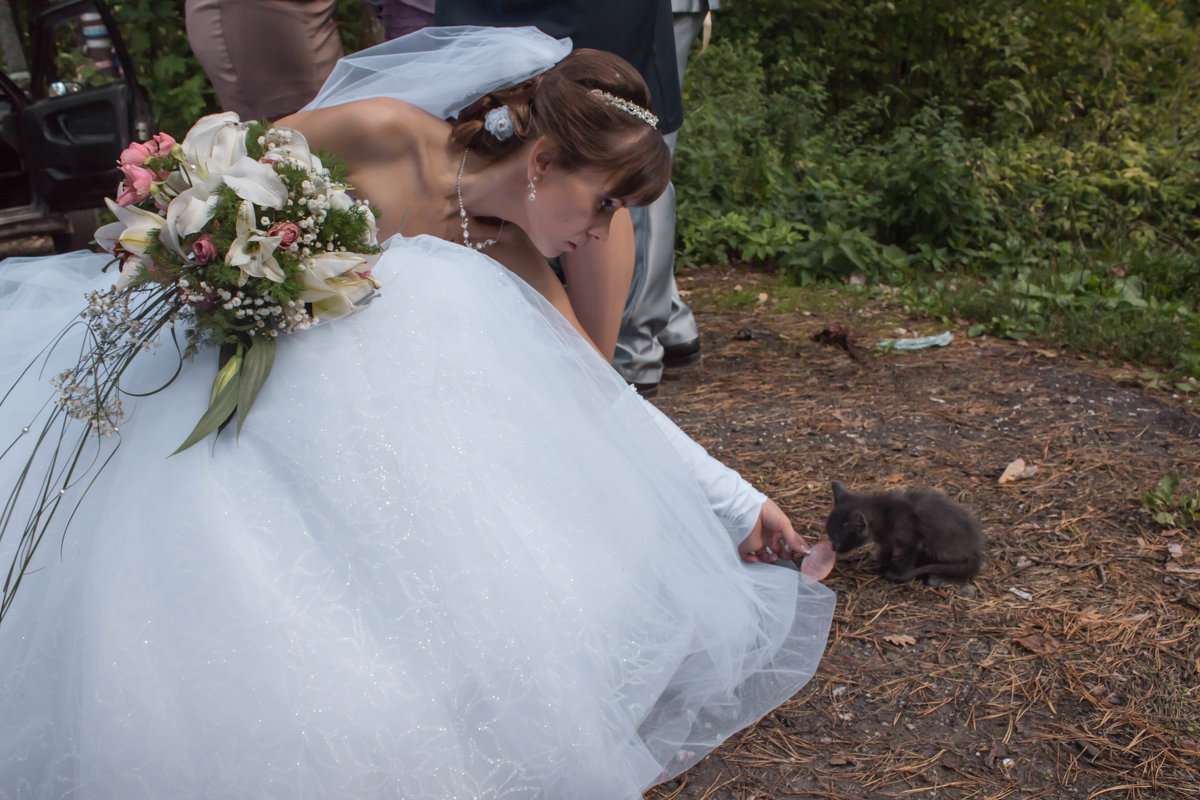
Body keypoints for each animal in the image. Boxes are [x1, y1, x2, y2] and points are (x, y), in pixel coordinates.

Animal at [825, 482, 984, 587]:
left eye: (836, 540)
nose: (832, 548)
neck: (883, 513)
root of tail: (977, 549)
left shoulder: (912, 541)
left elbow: (907, 559)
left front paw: (898, 572)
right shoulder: (887, 540)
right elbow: (885, 551)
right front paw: (878, 564)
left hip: (942, 546)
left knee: (965, 566)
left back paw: (941, 577)